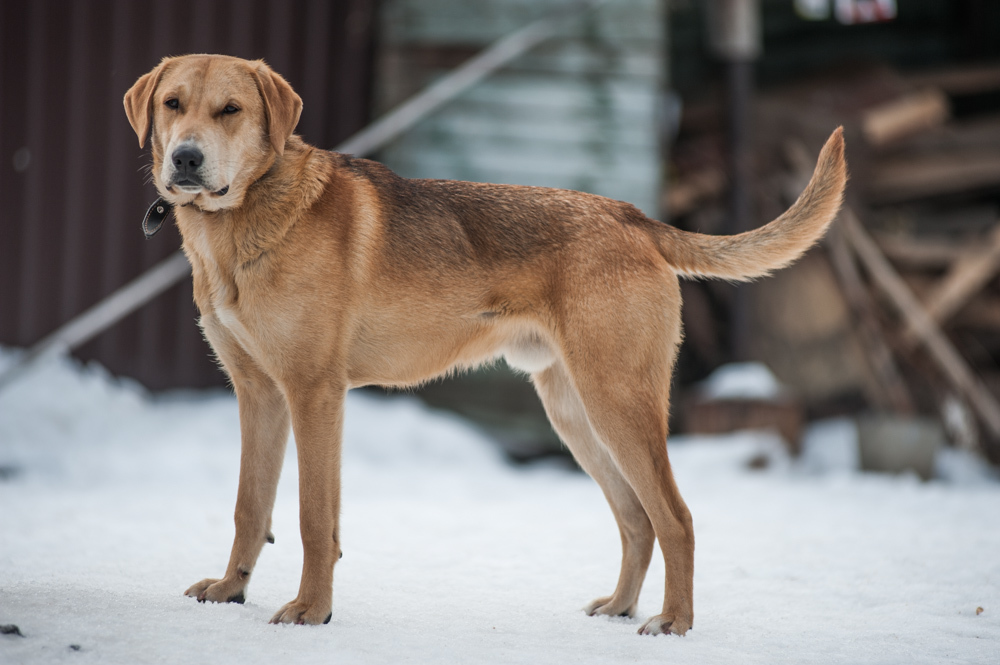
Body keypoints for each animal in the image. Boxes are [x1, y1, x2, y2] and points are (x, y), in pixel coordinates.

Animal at [123, 53, 844, 632]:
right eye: (172, 104)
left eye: (231, 110)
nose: (185, 159)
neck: (242, 221)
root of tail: (634, 218)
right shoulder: (259, 394)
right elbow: (250, 506)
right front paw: (231, 590)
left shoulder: (314, 393)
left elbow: (312, 518)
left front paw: (311, 610)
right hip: (575, 412)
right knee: (637, 519)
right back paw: (620, 607)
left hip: (618, 400)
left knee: (676, 517)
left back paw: (673, 623)